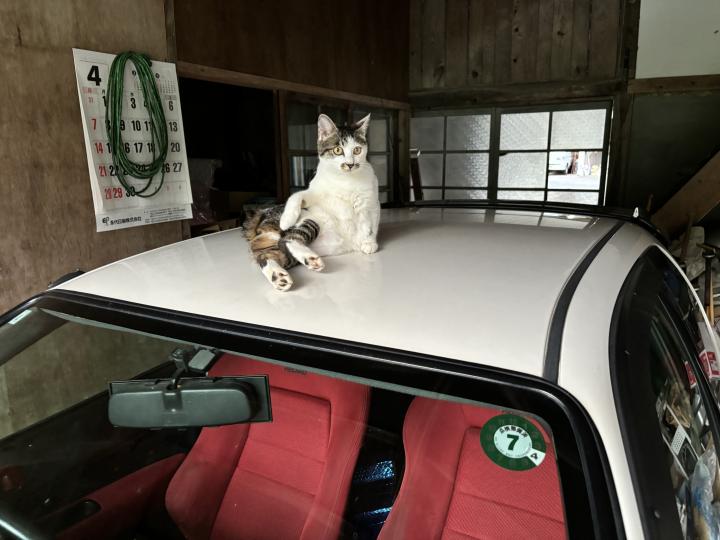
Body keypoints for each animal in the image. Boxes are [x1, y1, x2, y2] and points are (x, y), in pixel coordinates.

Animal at [244, 113, 381, 292]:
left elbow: (371, 224)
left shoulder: (372, 201)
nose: (350, 164)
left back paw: (281, 276)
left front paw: (369, 243)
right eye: (338, 150)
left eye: (357, 150)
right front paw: (287, 218)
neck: (346, 180)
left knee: (271, 252)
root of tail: (263, 212)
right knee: (286, 239)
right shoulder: (315, 191)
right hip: (310, 218)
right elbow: (297, 196)